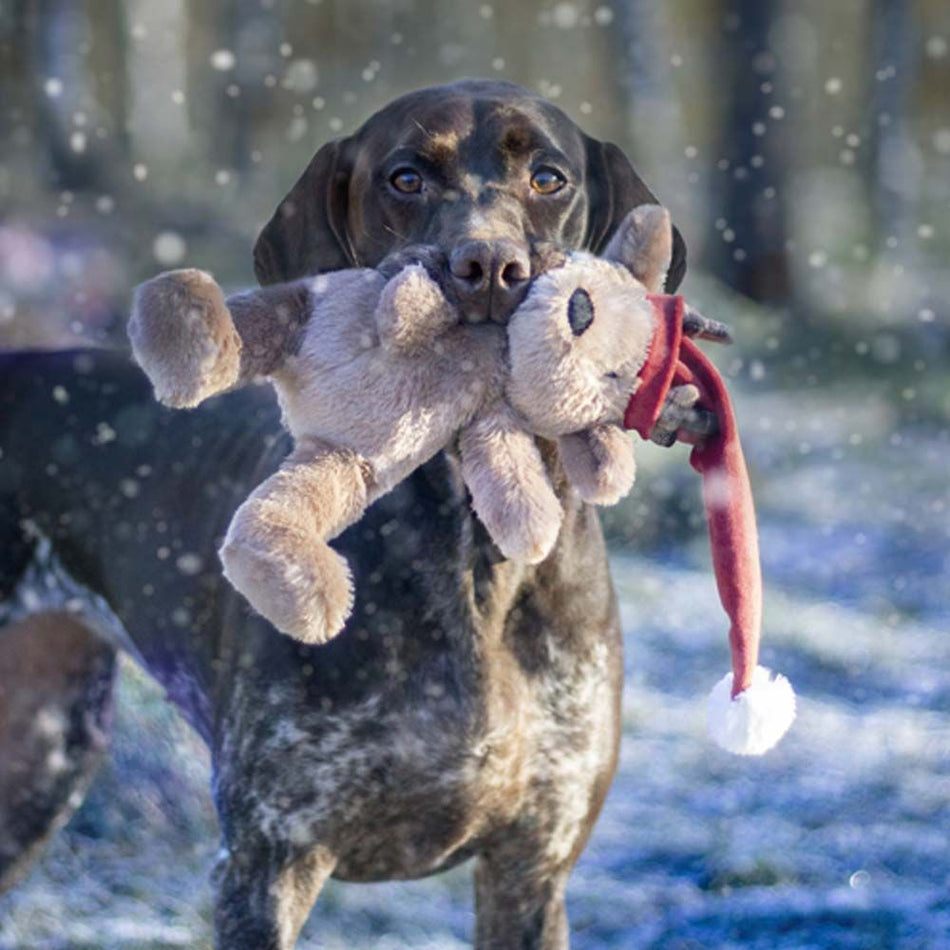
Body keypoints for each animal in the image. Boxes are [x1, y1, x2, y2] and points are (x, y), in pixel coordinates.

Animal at [0, 83, 712, 950]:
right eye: (405, 177)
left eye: (549, 177)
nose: (488, 267)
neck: (469, 555)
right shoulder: (268, 863)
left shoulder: (531, 869)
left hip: (39, 758)